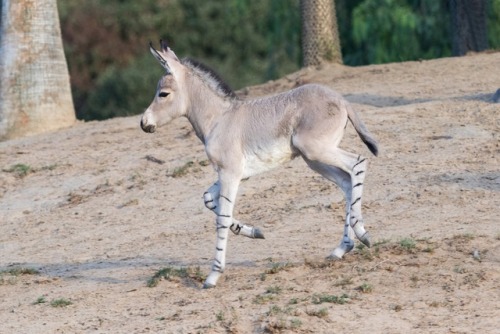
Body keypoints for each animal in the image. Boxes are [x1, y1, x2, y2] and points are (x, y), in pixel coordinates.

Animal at [141, 41, 378, 288]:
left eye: (163, 94)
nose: (143, 123)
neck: (218, 120)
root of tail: (342, 100)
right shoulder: (233, 174)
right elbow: (209, 200)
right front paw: (252, 231)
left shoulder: (230, 173)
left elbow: (222, 217)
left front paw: (214, 275)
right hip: (314, 159)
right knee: (347, 181)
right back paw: (342, 248)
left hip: (317, 151)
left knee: (357, 163)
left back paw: (362, 233)